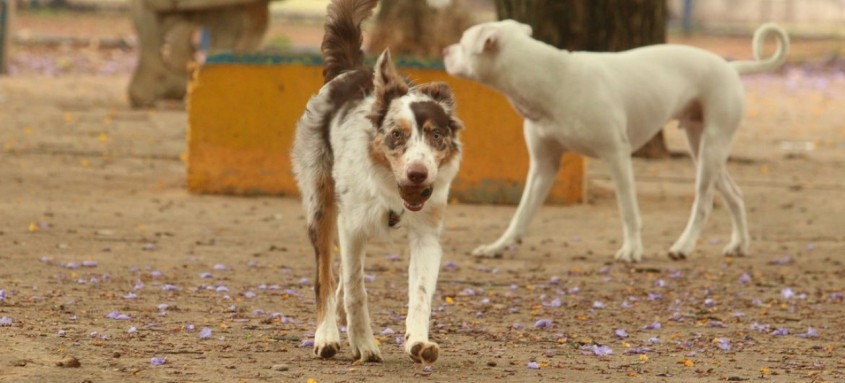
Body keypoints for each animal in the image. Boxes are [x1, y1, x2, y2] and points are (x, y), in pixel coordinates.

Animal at [290, 0, 462, 364]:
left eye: (436, 135)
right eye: (397, 134)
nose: (417, 173)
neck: (391, 191)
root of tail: (350, 70)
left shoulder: (426, 235)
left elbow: (420, 293)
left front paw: (417, 342)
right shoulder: (351, 225)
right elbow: (356, 289)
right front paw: (364, 344)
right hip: (320, 205)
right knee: (325, 277)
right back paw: (327, 334)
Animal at [446, 20, 788, 260]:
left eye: (462, 42)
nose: (446, 51)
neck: (552, 79)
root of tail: (730, 66)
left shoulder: (617, 157)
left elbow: (628, 209)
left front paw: (633, 250)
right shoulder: (544, 165)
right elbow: (521, 213)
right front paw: (498, 246)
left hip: (711, 149)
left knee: (703, 203)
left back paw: (684, 246)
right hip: (701, 146)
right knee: (735, 195)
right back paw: (739, 245)